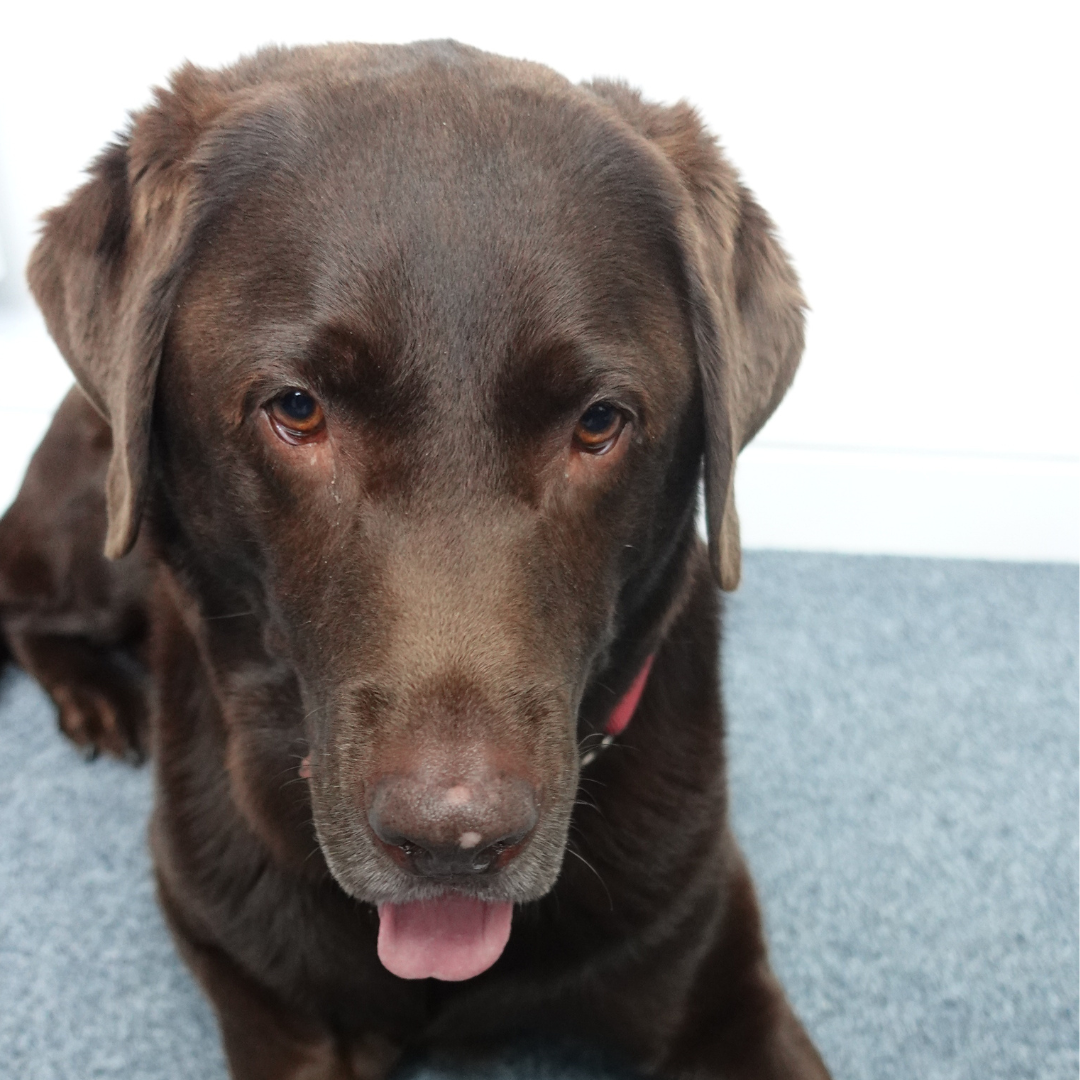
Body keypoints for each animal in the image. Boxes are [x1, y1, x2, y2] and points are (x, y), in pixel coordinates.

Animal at [0, 42, 833, 1080]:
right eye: (297, 409)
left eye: (599, 422)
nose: (455, 844)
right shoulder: (264, 989)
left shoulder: (715, 973)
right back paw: (98, 697)